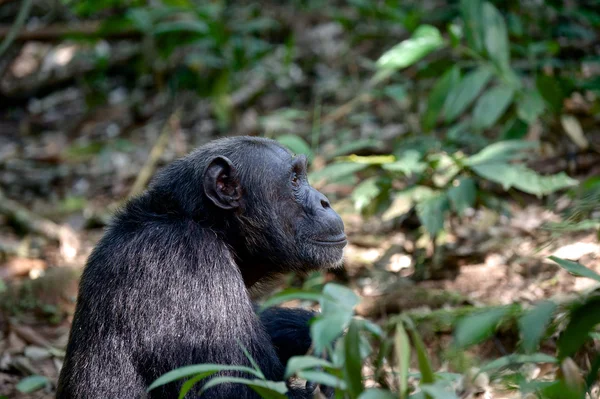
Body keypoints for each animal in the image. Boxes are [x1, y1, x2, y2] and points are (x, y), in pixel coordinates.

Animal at [57, 136, 346, 398]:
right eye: (295, 180)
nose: (324, 201)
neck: (205, 222)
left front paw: (324, 338)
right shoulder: (190, 264)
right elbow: (234, 389)